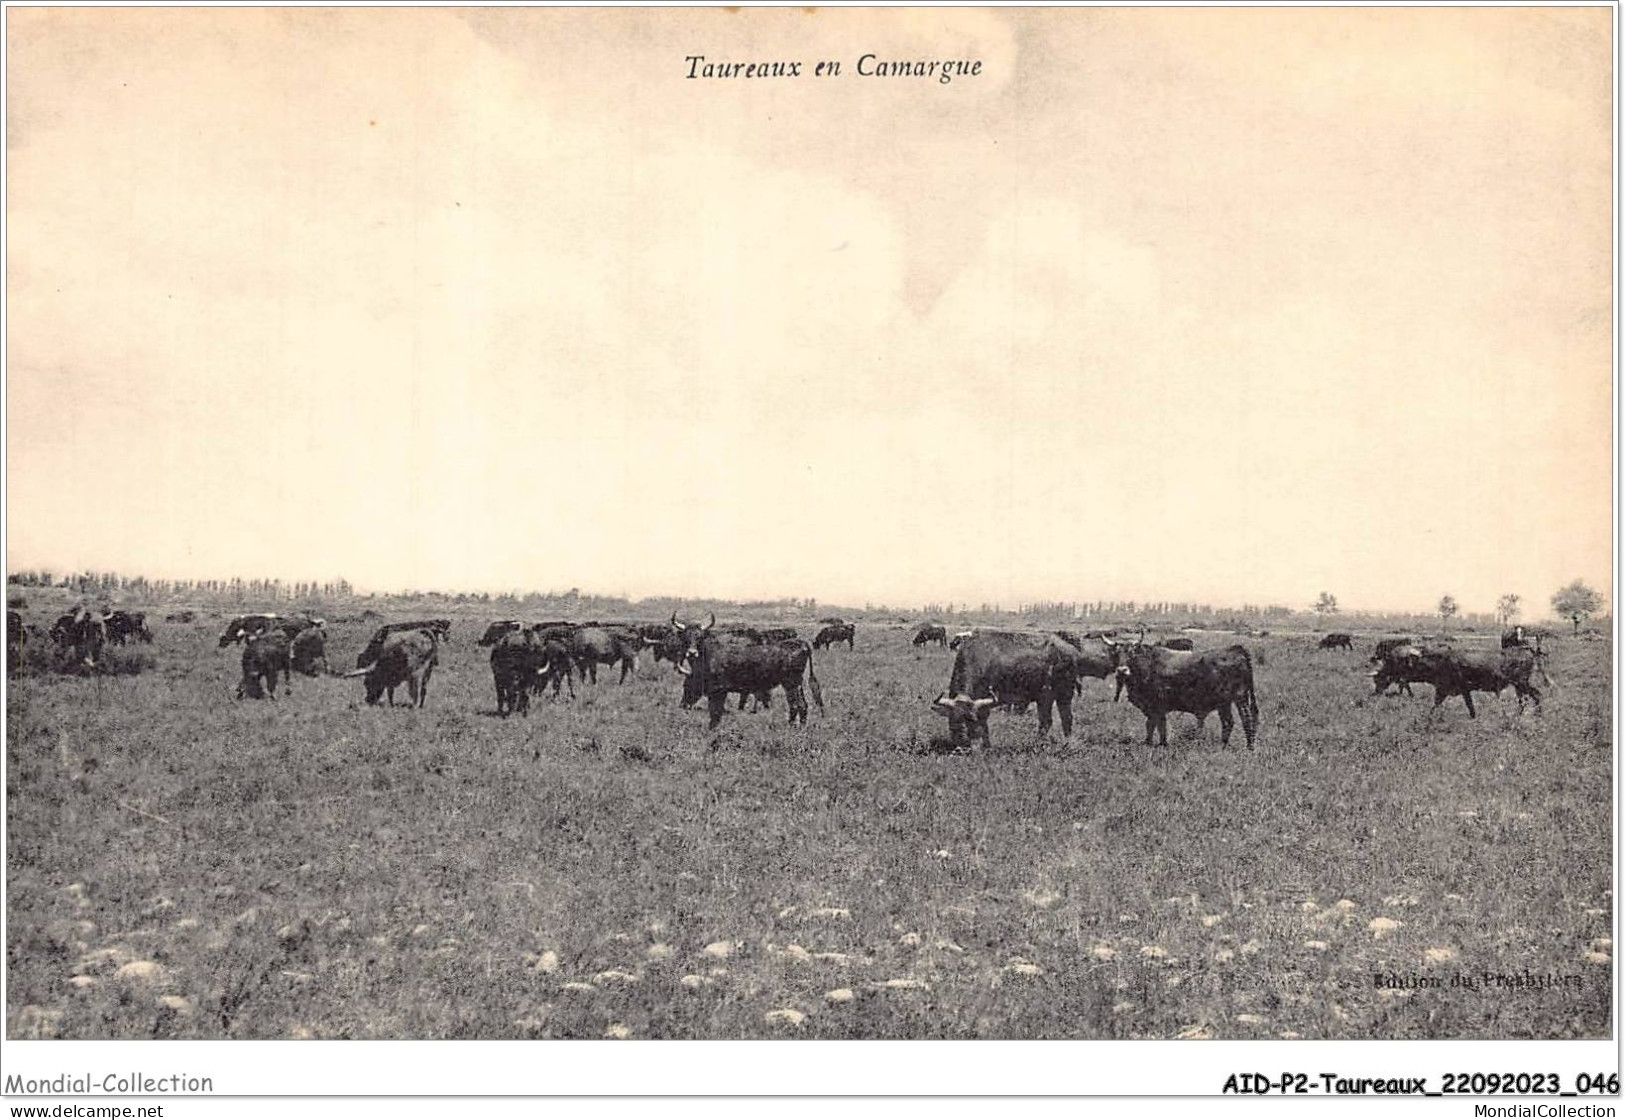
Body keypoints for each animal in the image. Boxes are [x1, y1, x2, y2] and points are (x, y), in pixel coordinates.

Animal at [936, 624, 1085, 747]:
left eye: (971, 720)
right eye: (953, 720)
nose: (961, 740)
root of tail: (1070, 649)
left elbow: (983, 722)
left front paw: (986, 745)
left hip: (1056, 695)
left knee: (1054, 720)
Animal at [1105, 633, 1254, 747]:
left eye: (1131, 653)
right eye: (1116, 654)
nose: (1122, 670)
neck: (1148, 665)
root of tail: (1236, 650)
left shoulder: (1155, 706)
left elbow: (1156, 724)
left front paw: (1158, 744)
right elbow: (1155, 725)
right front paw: (1152, 743)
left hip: (1237, 699)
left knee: (1245, 720)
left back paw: (1248, 747)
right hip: (1227, 703)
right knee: (1229, 722)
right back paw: (1224, 745)